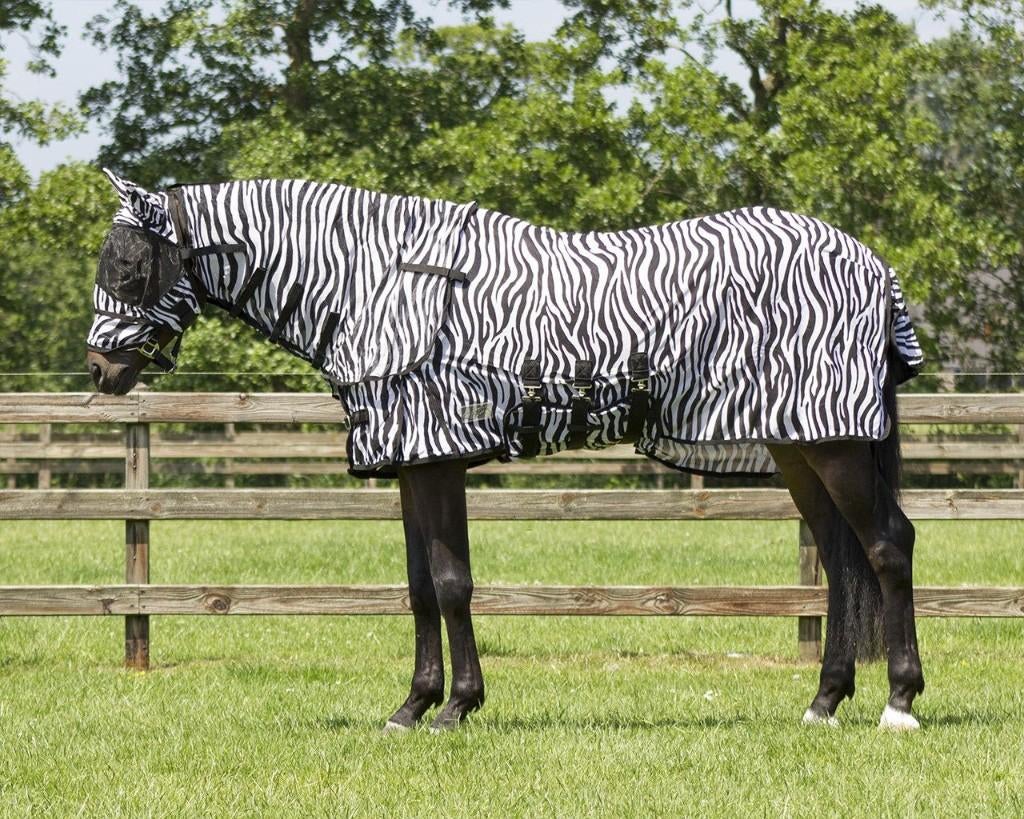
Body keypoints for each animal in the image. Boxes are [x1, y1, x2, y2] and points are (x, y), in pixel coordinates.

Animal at [87, 169, 926, 732]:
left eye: (128, 267)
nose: (100, 370)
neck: (375, 280)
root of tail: (874, 266)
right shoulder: (412, 461)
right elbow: (419, 586)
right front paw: (413, 705)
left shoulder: (435, 458)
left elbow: (452, 582)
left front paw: (455, 707)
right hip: (798, 445)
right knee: (841, 559)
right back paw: (823, 701)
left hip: (835, 446)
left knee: (887, 544)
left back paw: (900, 701)